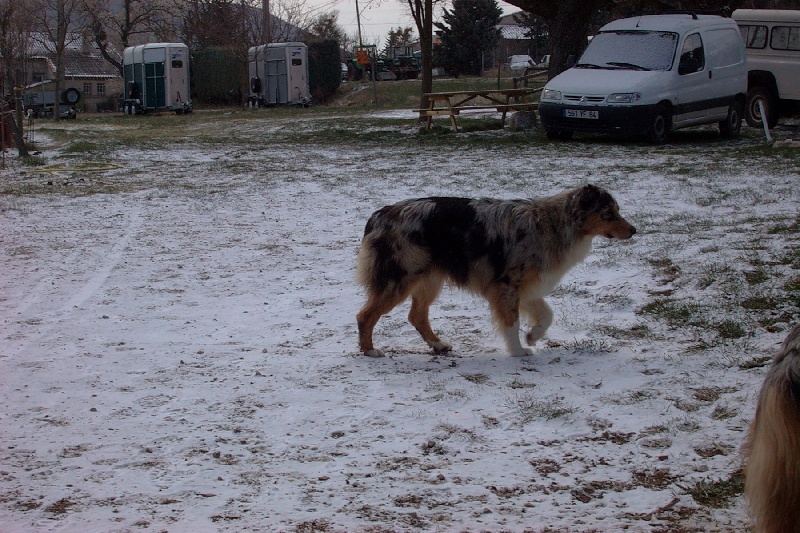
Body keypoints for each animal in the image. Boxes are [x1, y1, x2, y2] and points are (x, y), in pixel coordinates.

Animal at [356, 184, 636, 358]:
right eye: (608, 213)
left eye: (617, 211)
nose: (634, 230)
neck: (552, 223)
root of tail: (381, 213)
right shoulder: (506, 285)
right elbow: (511, 322)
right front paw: (518, 350)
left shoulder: (528, 287)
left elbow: (547, 314)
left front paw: (532, 336)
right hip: (400, 279)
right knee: (365, 315)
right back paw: (370, 351)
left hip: (429, 280)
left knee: (416, 316)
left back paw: (438, 345)